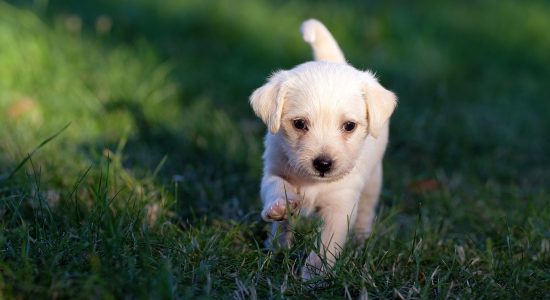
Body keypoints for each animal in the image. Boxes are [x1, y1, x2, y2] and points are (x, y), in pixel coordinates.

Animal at [249, 19, 396, 278]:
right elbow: (276, 187)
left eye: (349, 126)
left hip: (373, 180)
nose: (323, 164)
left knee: (366, 210)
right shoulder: (274, 170)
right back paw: (277, 246)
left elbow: (326, 244)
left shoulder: (340, 206)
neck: (313, 183)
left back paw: (361, 240)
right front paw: (279, 207)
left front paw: (314, 276)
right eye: (299, 124)